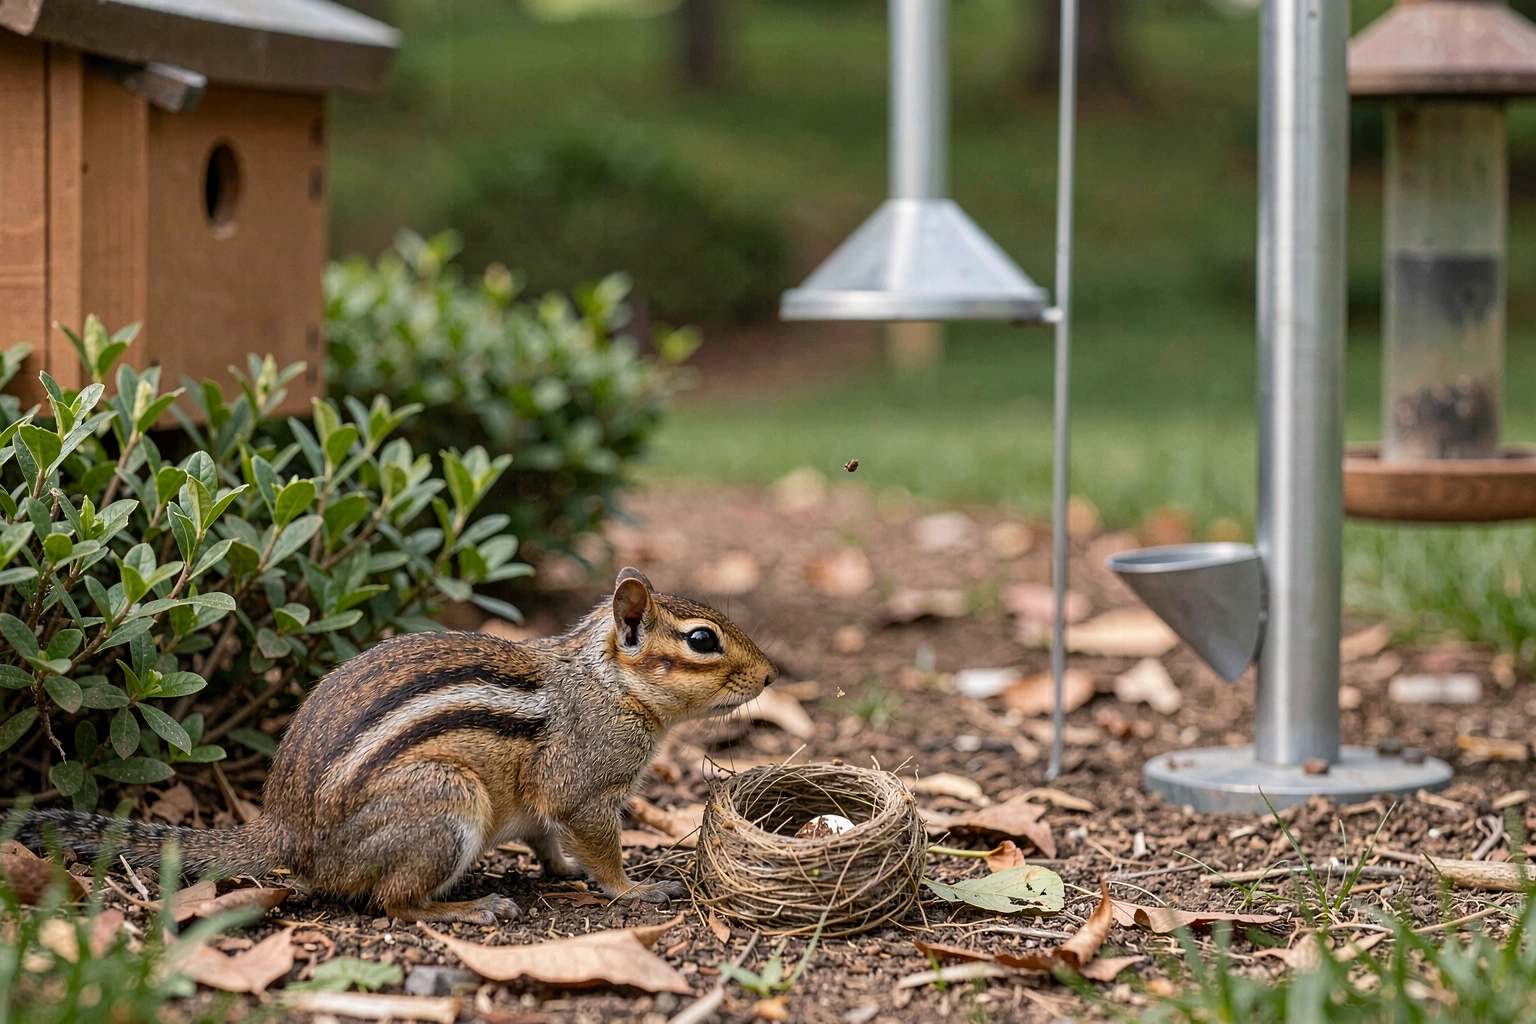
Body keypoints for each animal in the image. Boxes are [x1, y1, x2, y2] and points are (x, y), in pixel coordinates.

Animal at [16, 568, 776, 924]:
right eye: (702, 640)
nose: (772, 675)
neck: (604, 681)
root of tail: (285, 833)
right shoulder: (584, 784)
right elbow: (597, 845)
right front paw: (633, 889)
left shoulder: (542, 810)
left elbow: (546, 840)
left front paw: (562, 872)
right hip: (446, 804)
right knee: (393, 902)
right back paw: (469, 907)